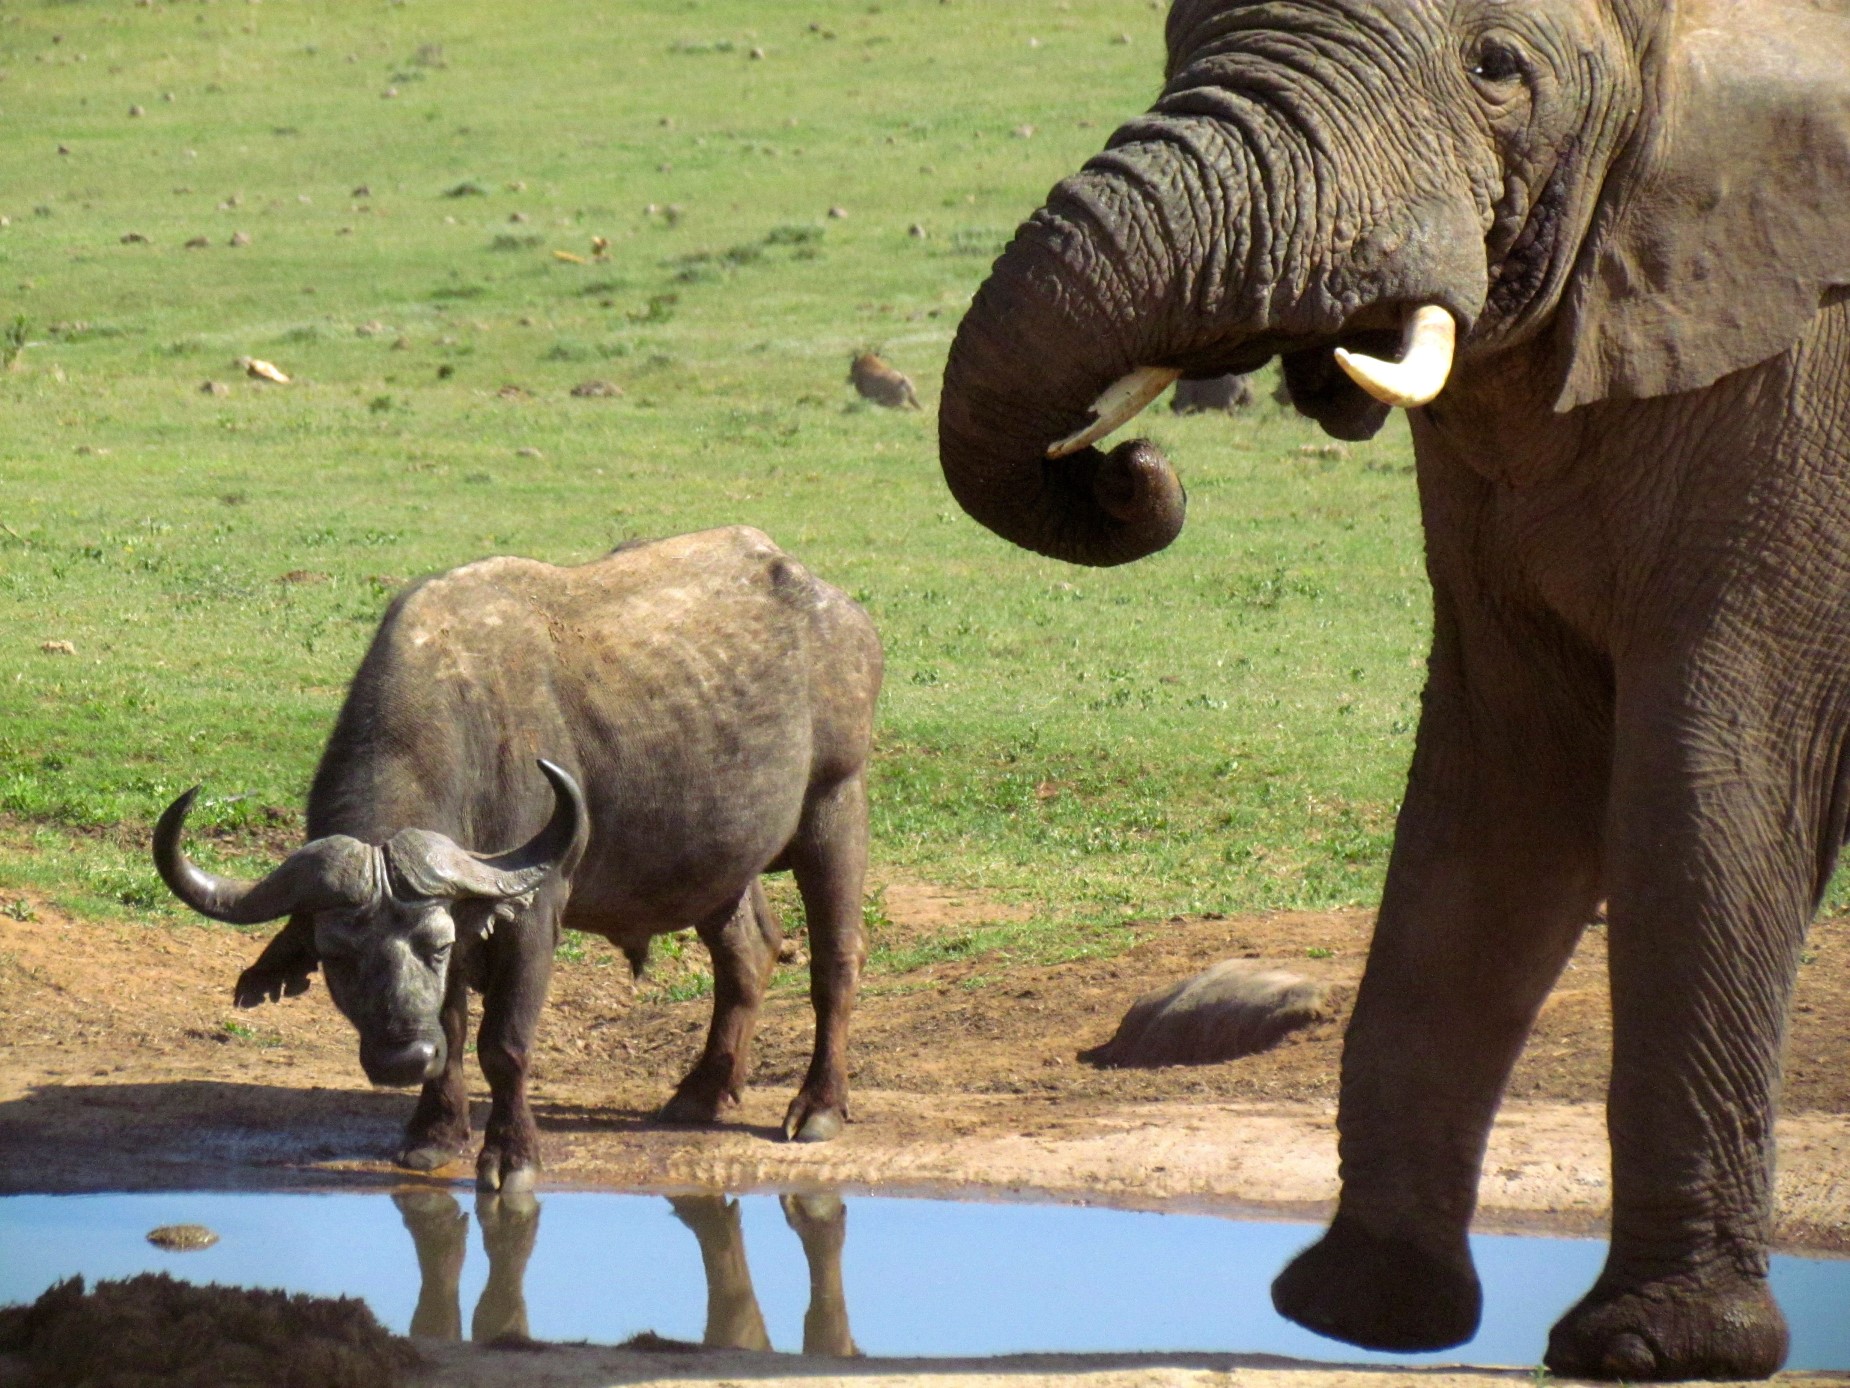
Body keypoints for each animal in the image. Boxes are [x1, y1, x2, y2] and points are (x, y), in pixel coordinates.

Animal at [937, 0, 1850, 1378]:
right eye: (1171, 32)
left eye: (1495, 68)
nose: (1132, 467)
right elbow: (1502, 782)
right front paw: (1357, 1310)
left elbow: (1709, 774)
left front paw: (1655, 1345)